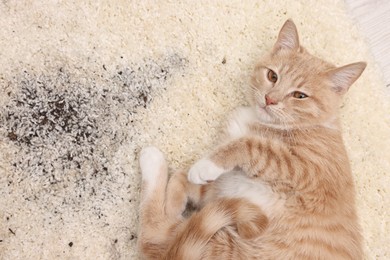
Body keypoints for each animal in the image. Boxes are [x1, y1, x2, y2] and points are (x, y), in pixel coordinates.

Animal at [137, 20, 366, 260]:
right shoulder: (220, 188)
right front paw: (175, 199)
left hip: (219, 246)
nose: (270, 99)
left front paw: (204, 167)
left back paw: (152, 160)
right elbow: (185, 177)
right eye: (273, 76)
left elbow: (249, 145)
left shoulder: (303, 168)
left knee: (153, 238)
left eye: (300, 96)